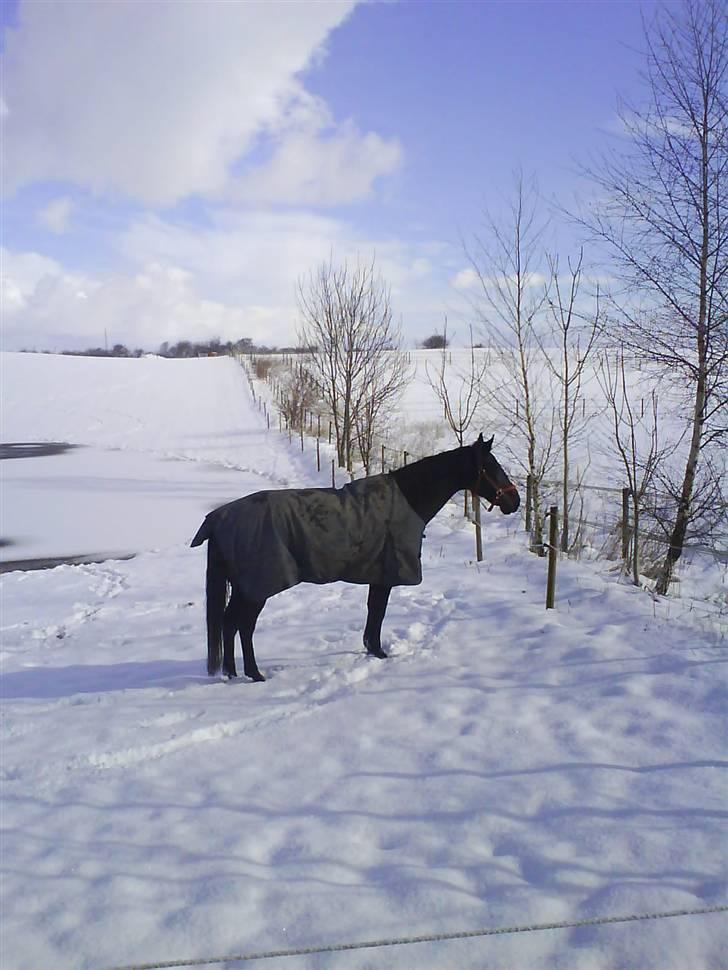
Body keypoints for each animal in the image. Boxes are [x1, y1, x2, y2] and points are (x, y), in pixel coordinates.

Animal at [188, 432, 516, 680]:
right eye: (490, 467)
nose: (514, 501)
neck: (407, 498)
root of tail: (218, 518)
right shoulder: (387, 574)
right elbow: (379, 612)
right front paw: (379, 652)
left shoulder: (378, 574)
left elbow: (373, 611)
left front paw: (371, 648)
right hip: (256, 588)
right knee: (243, 626)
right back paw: (254, 674)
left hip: (243, 588)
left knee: (228, 623)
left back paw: (232, 673)